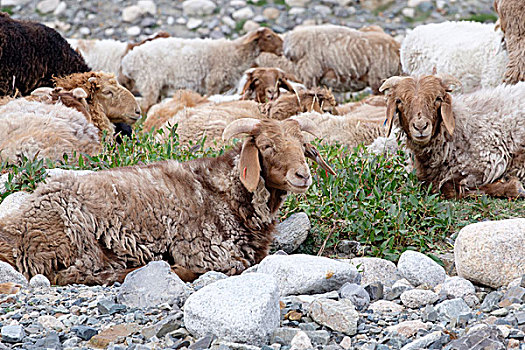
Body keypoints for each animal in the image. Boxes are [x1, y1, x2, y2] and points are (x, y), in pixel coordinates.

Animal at [0, 117, 334, 284]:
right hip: (75, 234)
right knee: (74, 274)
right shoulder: (207, 249)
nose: (302, 175)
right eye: (266, 146)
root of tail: (15, 232)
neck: (227, 191)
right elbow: (235, 265)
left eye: (303, 145)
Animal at [378, 73, 524, 200]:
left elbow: (448, 187)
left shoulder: (488, 160)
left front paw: (513, 187)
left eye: (438, 99)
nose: (420, 126)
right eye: (399, 101)